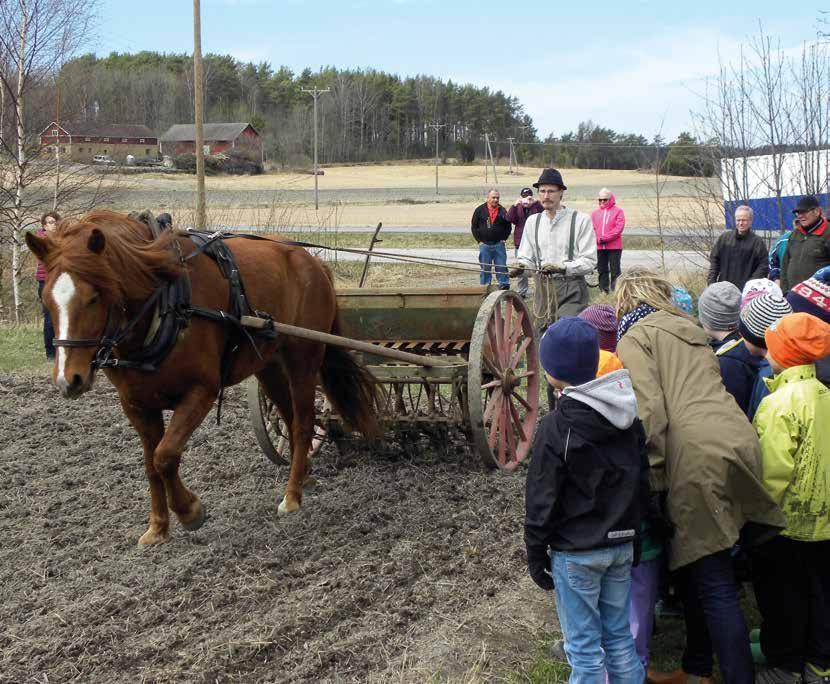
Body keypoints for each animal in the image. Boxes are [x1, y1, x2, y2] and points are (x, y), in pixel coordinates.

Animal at [25, 210, 376, 544]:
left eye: (93, 297)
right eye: (47, 300)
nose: (68, 380)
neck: (165, 304)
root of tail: (311, 261)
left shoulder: (201, 391)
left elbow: (165, 456)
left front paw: (190, 511)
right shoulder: (136, 404)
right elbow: (151, 463)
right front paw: (157, 528)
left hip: (304, 356)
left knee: (303, 423)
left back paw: (292, 497)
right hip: (269, 365)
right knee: (289, 419)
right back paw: (303, 475)